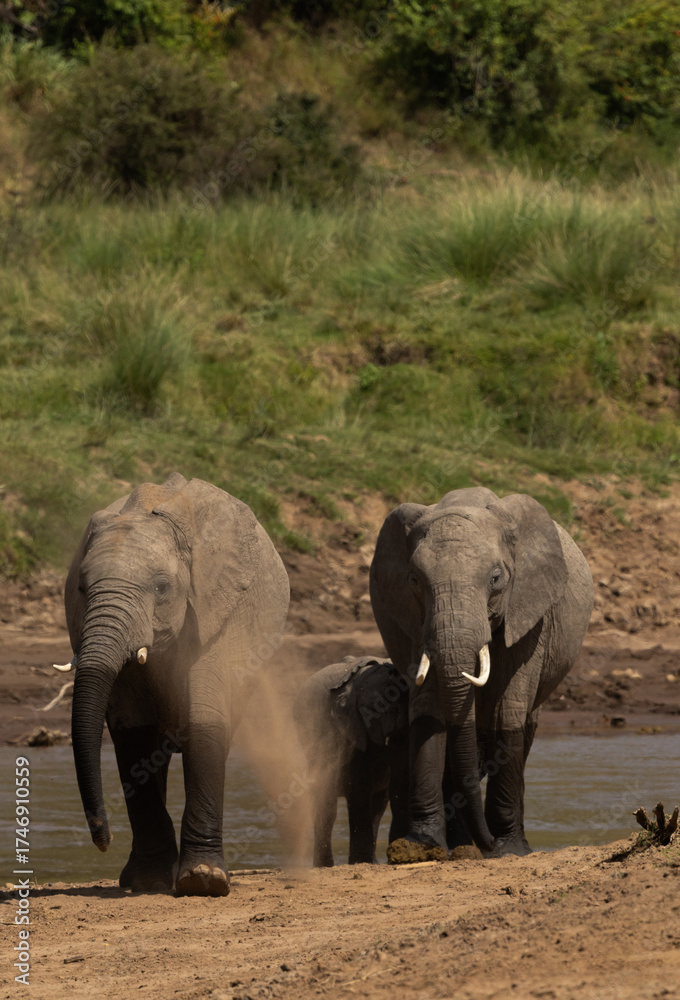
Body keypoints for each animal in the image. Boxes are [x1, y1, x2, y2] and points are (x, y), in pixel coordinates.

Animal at [64, 472, 289, 896]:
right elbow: (133, 733)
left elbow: (206, 718)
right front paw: (150, 881)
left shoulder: (219, 610)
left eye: (162, 587)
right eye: (82, 590)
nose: (104, 839)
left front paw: (204, 881)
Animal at [293, 656, 410, 866]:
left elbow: (398, 780)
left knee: (378, 806)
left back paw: (373, 862)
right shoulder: (349, 729)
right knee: (327, 806)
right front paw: (359, 861)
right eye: (380, 706)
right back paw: (325, 866)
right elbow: (359, 785)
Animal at [369, 487, 593, 859]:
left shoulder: (530, 616)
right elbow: (429, 710)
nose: (486, 843)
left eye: (496, 578)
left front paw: (508, 850)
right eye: (414, 580)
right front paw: (421, 848)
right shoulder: (418, 622)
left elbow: (507, 711)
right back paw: (462, 846)